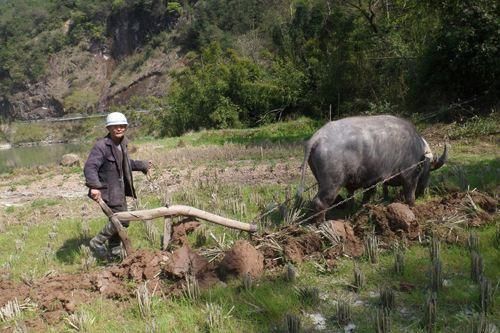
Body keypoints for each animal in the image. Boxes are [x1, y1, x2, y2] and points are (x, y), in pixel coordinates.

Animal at [298, 114, 448, 220]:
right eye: (429, 170)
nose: (423, 192)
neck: (417, 150)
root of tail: (318, 137)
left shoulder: (372, 181)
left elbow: (368, 196)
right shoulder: (410, 176)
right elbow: (409, 196)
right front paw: (412, 209)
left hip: (321, 181)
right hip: (332, 184)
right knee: (320, 203)